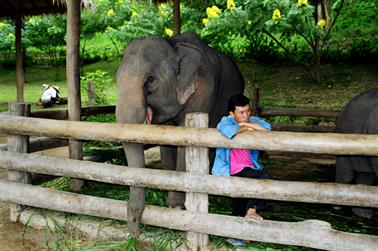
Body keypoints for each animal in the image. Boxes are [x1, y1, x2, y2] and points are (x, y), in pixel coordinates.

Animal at [116, 31, 245, 233]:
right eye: (116, 79)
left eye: (150, 79)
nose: (135, 234)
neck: (174, 44)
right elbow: (167, 143)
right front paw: (171, 204)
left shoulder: (202, 89)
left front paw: (176, 206)